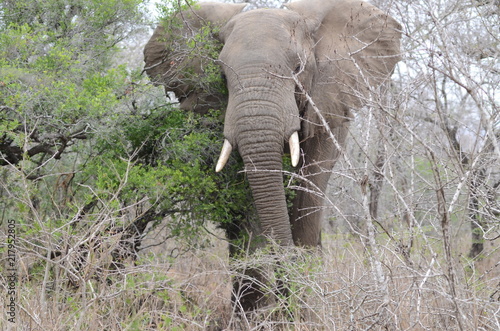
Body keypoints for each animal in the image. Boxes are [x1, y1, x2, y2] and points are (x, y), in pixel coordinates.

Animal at [143, 0, 400, 314]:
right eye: (222, 76)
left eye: (298, 68)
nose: (284, 287)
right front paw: (258, 311)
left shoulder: (328, 103)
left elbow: (310, 185)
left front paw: (302, 309)